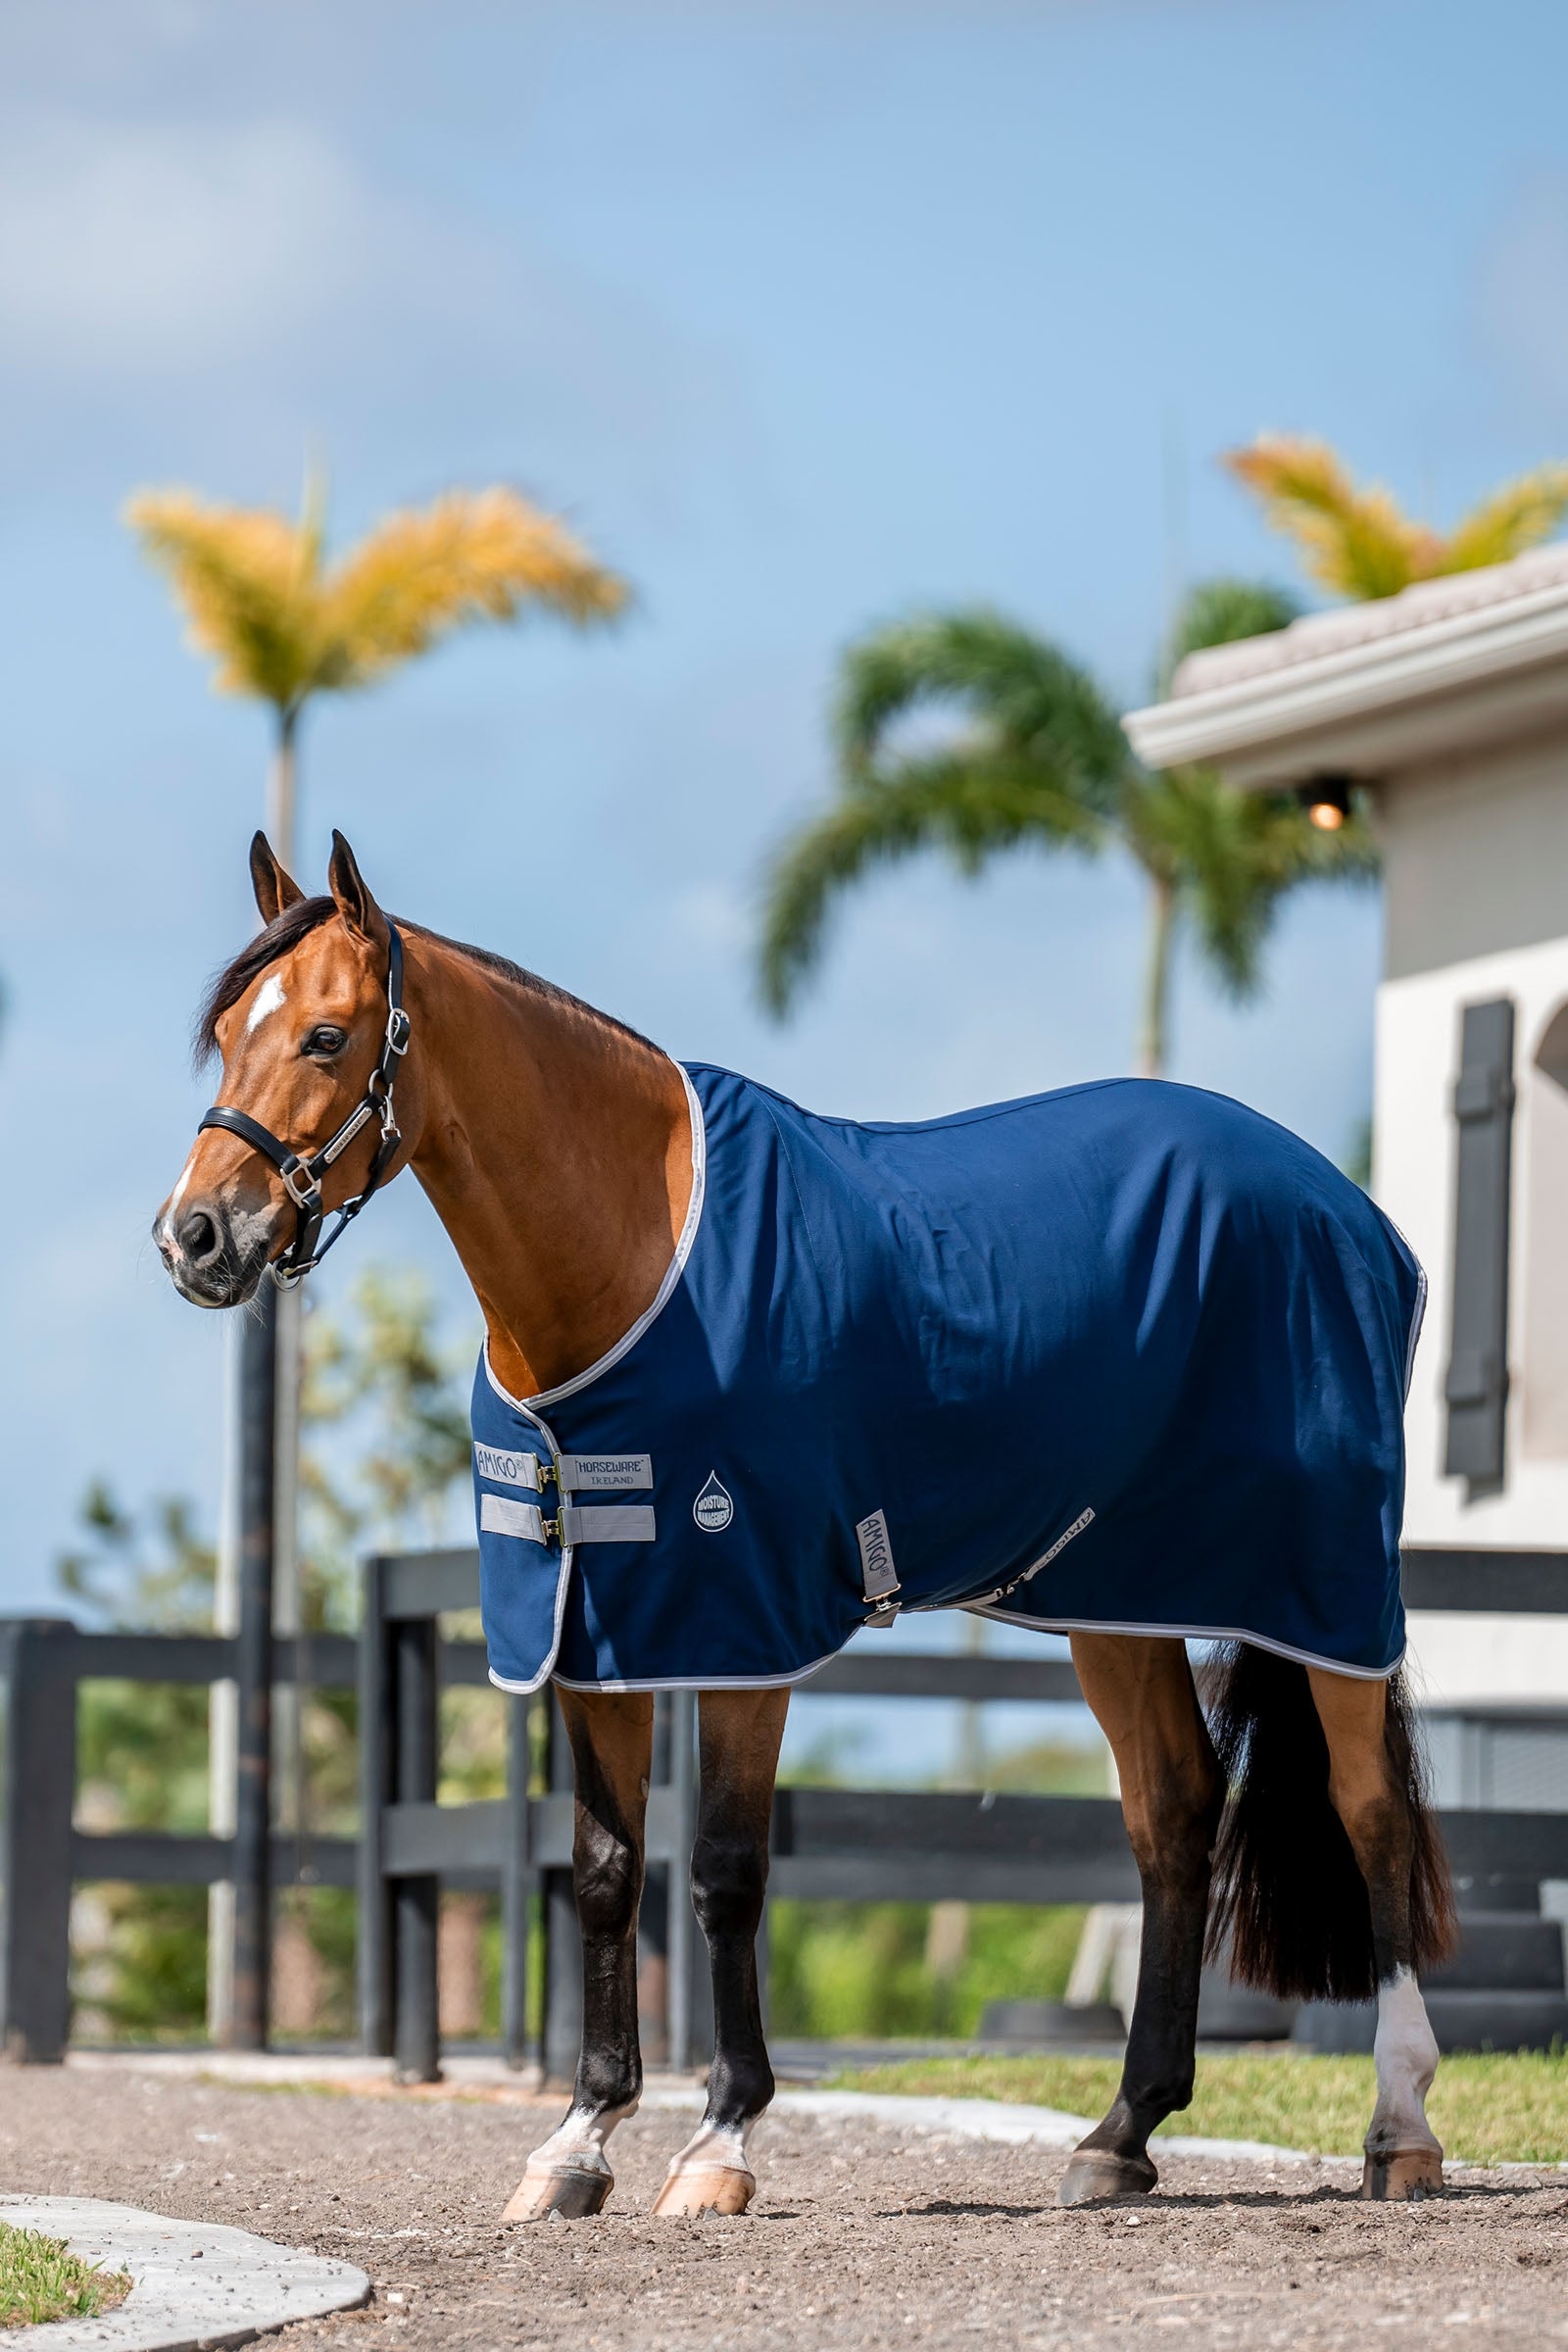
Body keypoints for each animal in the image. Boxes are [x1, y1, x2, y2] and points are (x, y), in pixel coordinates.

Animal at [155, 830, 1455, 2217]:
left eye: (328, 1037)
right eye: (227, 1030)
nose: (195, 1237)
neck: (633, 1253)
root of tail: (1349, 1211)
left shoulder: (742, 1623)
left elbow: (724, 1871)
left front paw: (718, 2143)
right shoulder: (592, 1629)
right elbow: (604, 1873)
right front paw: (576, 2143)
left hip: (1324, 1586)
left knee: (1369, 1811)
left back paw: (1398, 2131)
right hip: (1116, 1598)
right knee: (1173, 1813)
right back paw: (1121, 2134)